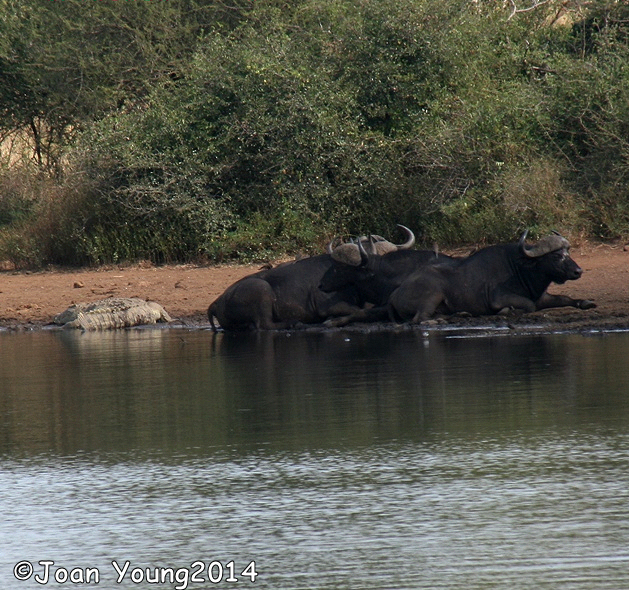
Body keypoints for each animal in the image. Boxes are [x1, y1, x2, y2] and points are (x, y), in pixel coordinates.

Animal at [386, 231, 596, 324]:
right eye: (556, 255)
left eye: (568, 252)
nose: (578, 271)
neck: (522, 269)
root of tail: (394, 294)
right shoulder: (499, 298)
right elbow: (529, 305)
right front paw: (507, 311)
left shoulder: (542, 296)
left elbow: (565, 298)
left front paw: (585, 302)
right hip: (432, 295)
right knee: (419, 318)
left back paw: (461, 314)